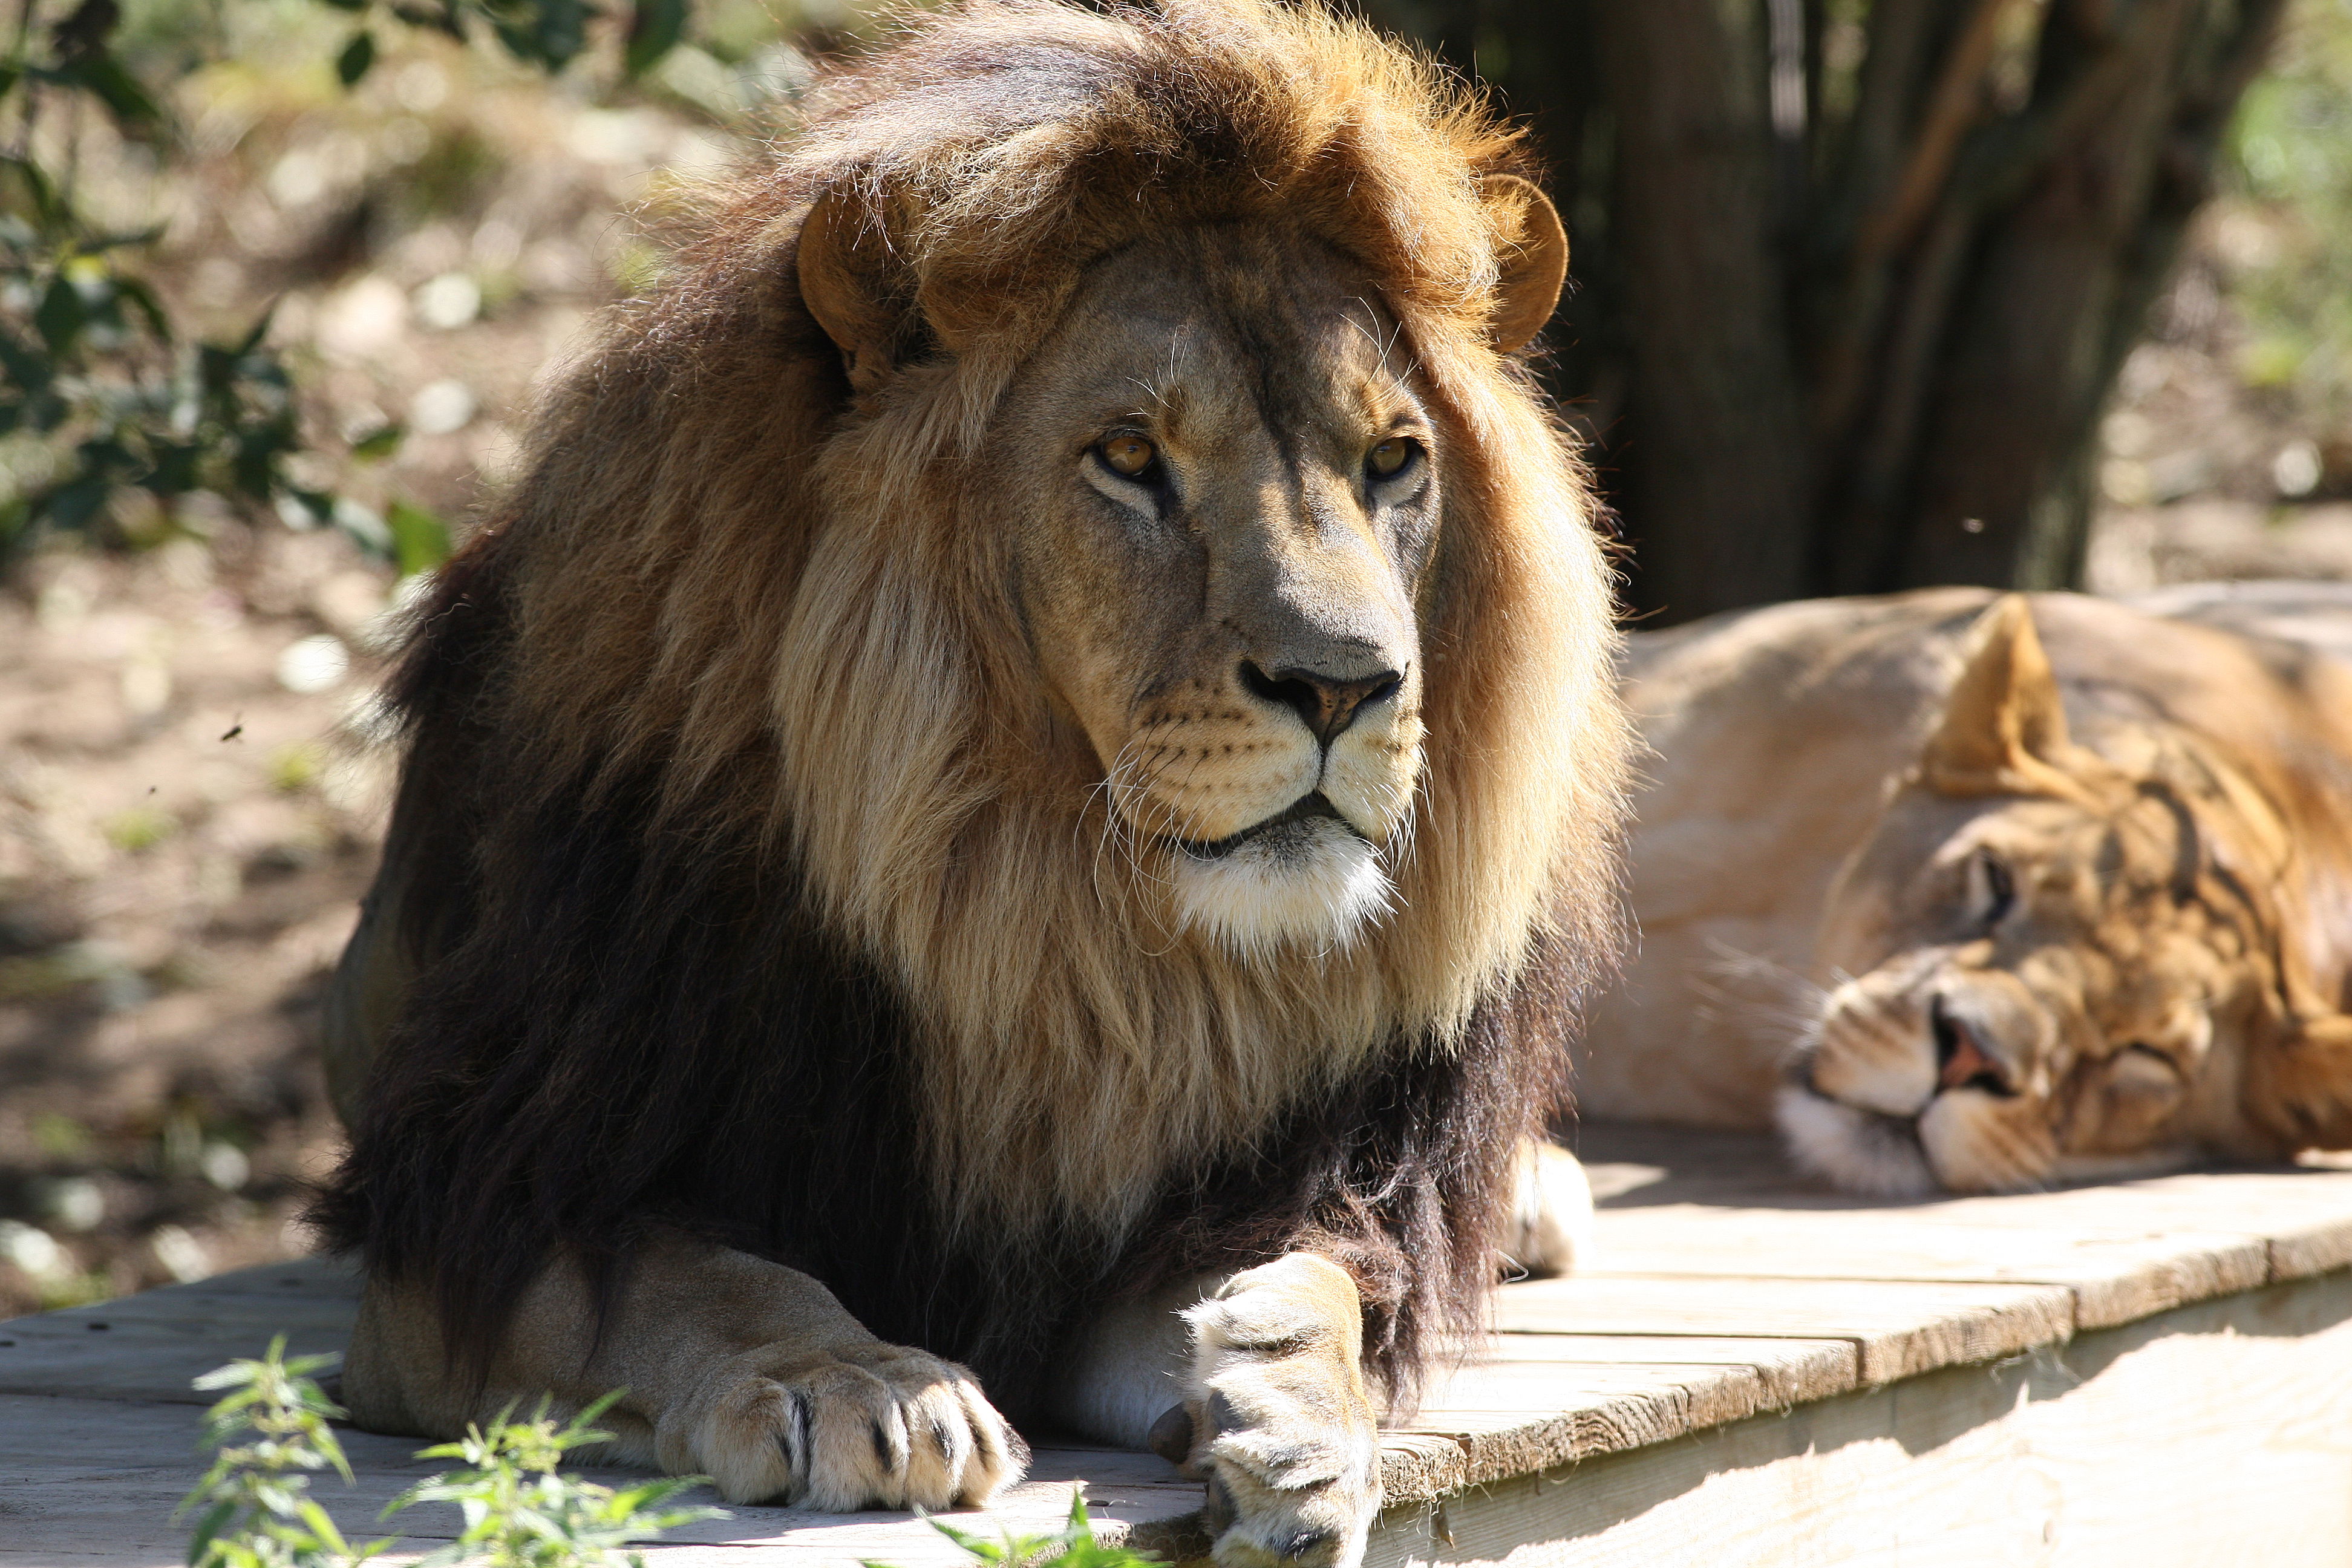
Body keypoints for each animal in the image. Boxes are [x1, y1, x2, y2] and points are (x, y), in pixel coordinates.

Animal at [317, 3, 1637, 1568]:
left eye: (1391, 461)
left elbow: (1310, 1278)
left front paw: (1300, 1417)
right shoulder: (477, 1213)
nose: (1344, 687)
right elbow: (688, 1275)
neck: (1048, 922)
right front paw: (854, 1385)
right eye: (1127, 457)